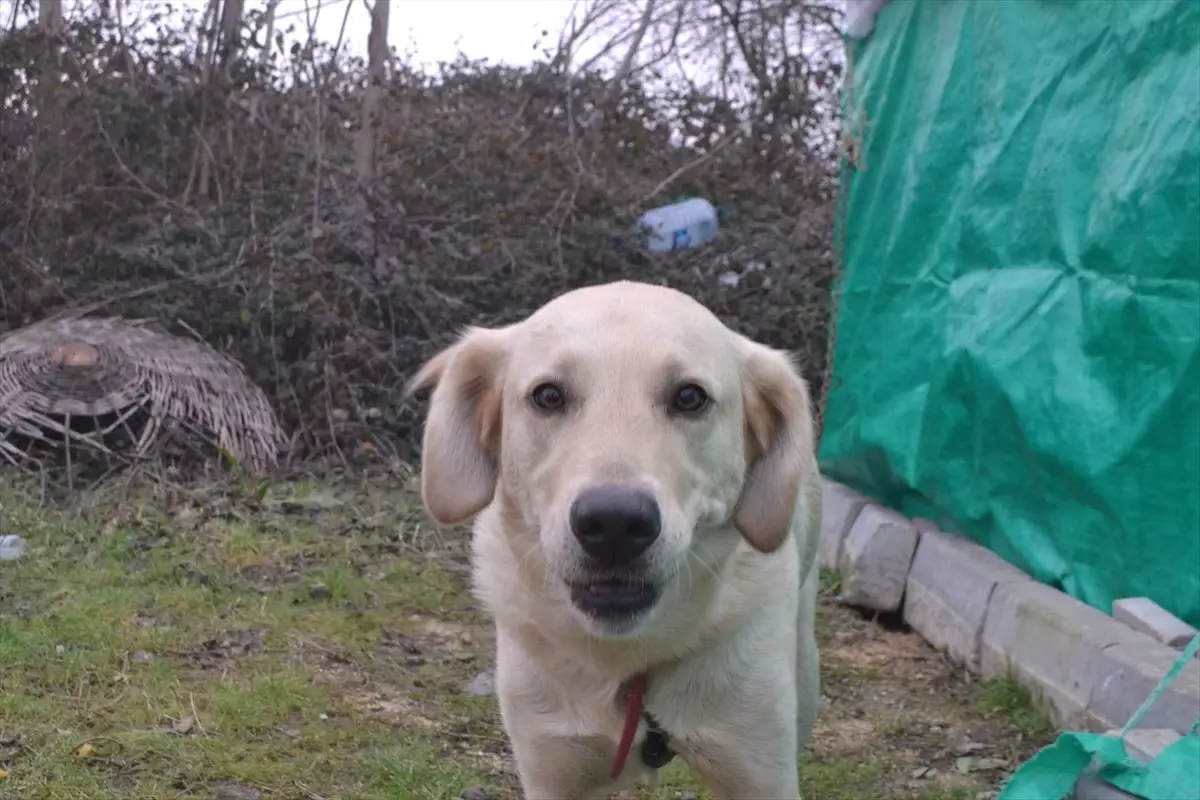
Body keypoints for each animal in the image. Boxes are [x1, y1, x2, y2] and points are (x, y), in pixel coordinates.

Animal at [408, 281, 820, 800]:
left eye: (690, 397)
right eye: (548, 396)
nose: (615, 524)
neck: (629, 660)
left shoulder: (758, 770)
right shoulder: (551, 767)